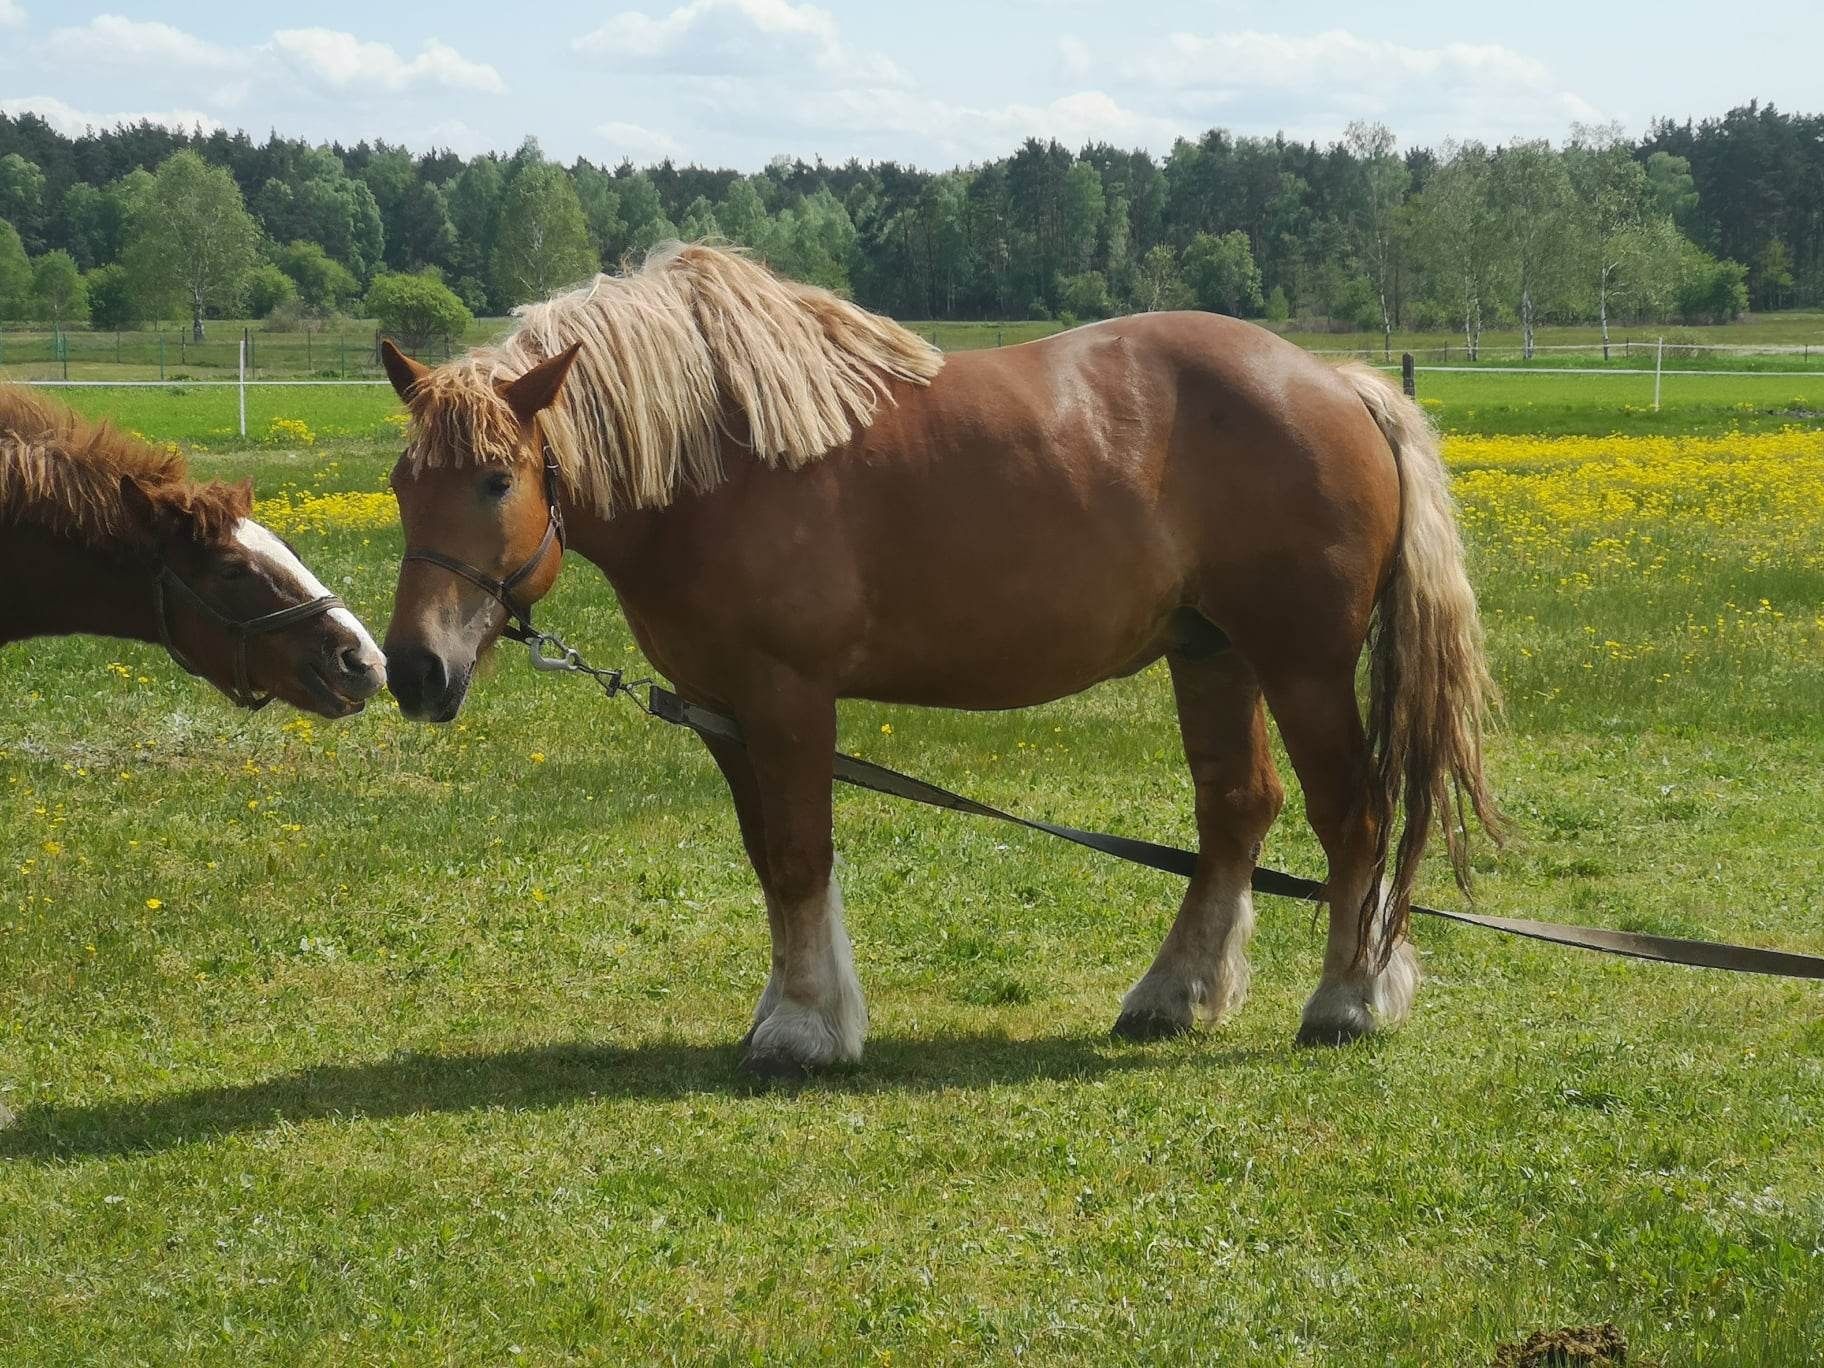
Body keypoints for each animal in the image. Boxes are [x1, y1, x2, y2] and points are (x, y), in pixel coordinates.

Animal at [381, 249, 1495, 1079]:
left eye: (496, 480)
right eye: (401, 482)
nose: (416, 671)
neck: (721, 462)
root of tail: (1335, 382)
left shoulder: (788, 697)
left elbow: (801, 855)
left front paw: (805, 1031)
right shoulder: (720, 706)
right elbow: (770, 861)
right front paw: (789, 1011)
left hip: (1302, 664)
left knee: (1351, 817)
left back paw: (1348, 999)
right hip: (1211, 654)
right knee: (1235, 810)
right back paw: (1174, 995)